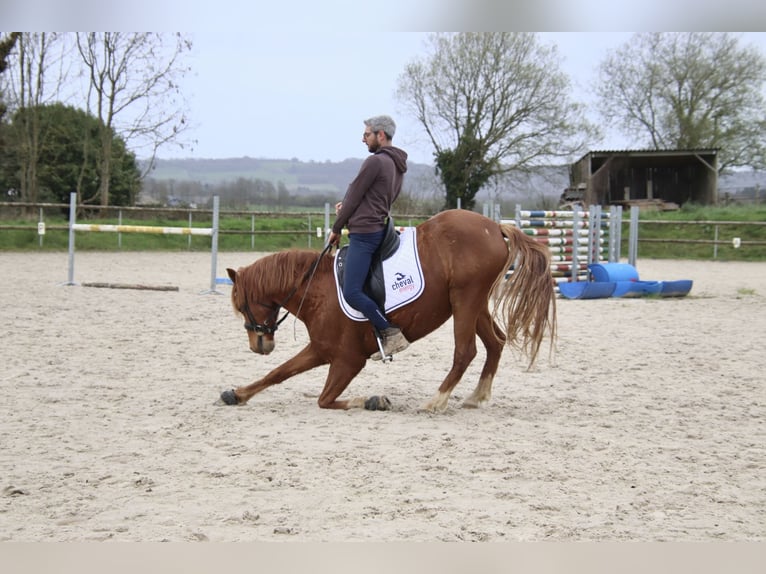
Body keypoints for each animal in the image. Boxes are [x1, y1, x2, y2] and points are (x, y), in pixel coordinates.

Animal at [220, 209, 557, 413]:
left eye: (243, 306)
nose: (259, 346)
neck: (318, 290)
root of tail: (494, 226)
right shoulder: (320, 349)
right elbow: (279, 372)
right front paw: (237, 393)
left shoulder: (348, 360)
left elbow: (324, 399)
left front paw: (373, 400)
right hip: (474, 305)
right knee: (495, 343)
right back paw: (477, 397)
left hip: (466, 300)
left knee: (466, 352)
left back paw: (436, 401)